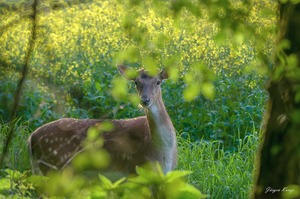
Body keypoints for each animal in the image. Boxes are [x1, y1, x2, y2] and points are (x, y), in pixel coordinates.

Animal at [27, 65, 177, 177]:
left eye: (158, 81)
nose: (145, 100)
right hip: (54, 166)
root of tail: (31, 138)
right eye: (136, 82)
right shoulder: (136, 170)